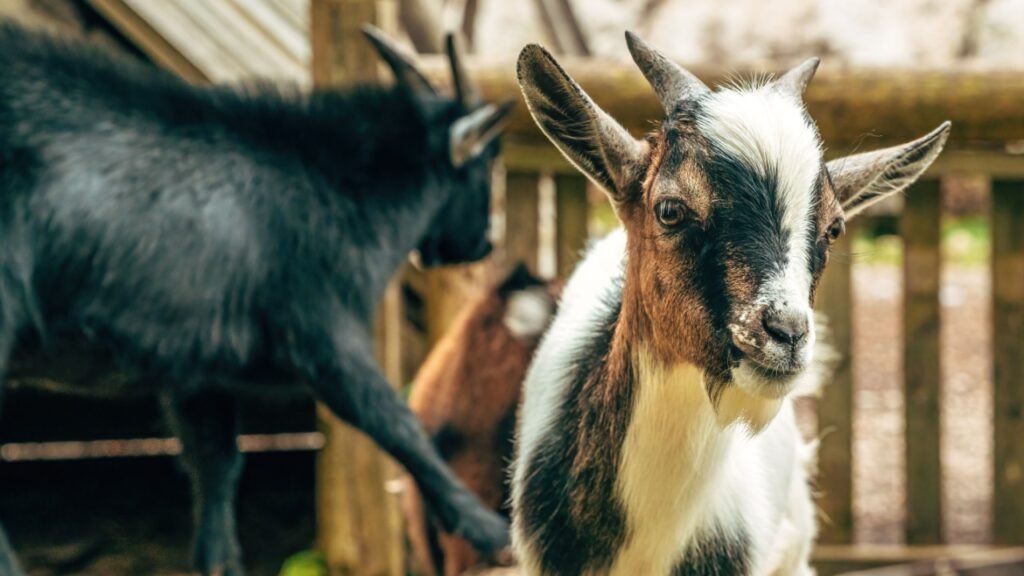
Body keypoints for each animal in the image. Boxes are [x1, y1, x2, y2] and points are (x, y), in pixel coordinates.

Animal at [0, 22, 514, 576]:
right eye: (486, 161)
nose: (483, 243)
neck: (340, 188)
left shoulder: (200, 370)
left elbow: (217, 466)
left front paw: (219, 563)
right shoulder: (323, 331)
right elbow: (397, 426)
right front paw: (490, 530)